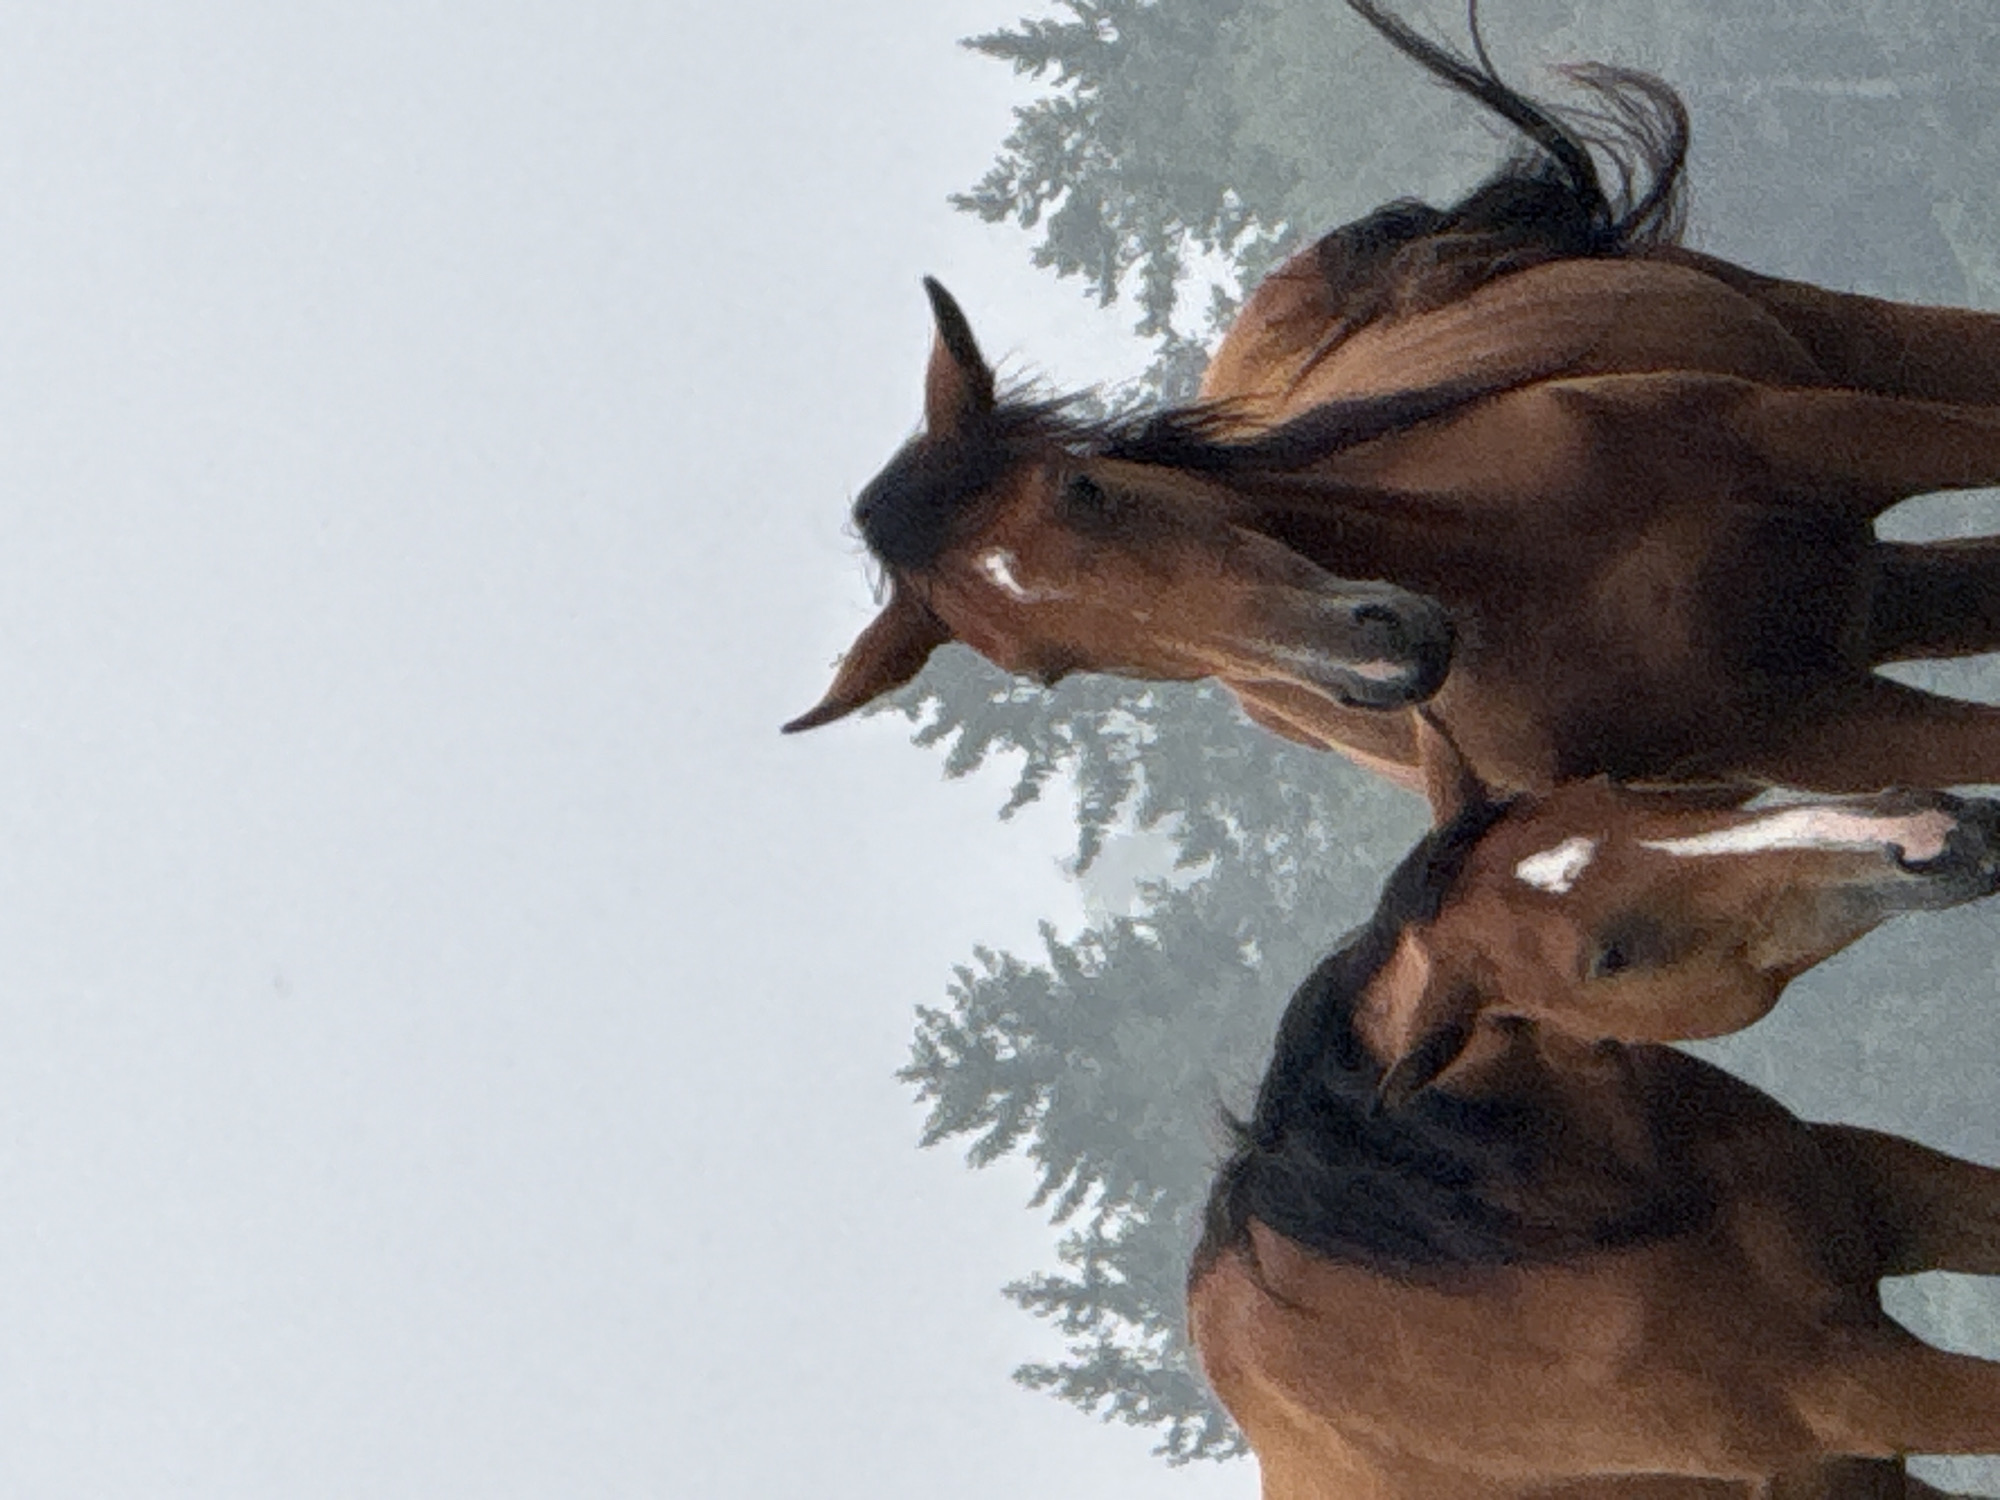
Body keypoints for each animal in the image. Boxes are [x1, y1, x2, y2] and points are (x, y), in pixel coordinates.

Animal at [786, 0, 2000, 800]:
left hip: (1840, 348)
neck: (1542, 576)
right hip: (1879, 600)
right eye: (1045, 668)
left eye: (1084, 489)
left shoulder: (1837, 435)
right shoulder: (1829, 733)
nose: (1369, 660)